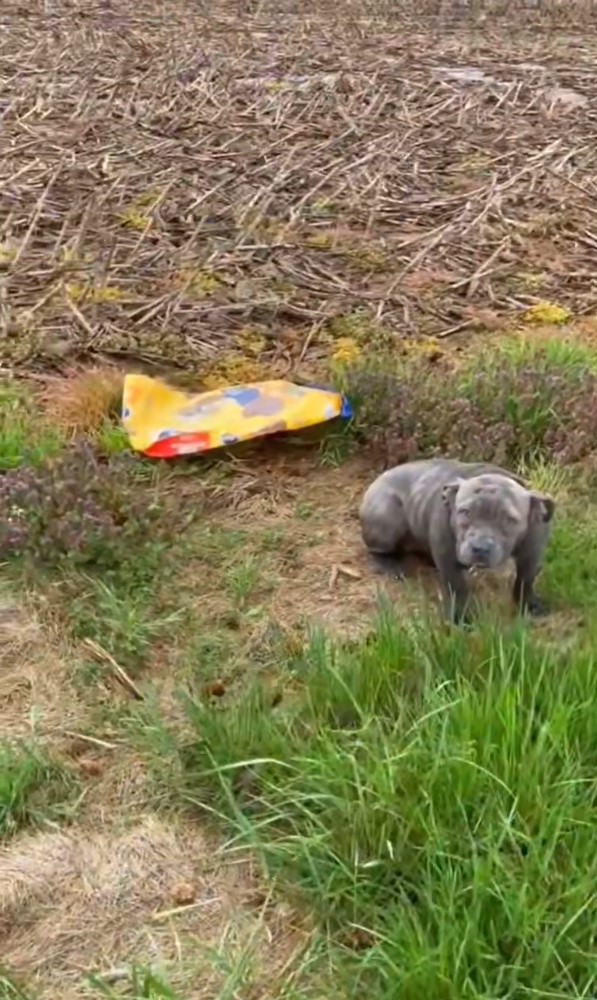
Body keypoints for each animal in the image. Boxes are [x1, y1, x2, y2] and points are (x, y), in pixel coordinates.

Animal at [360, 458, 556, 620]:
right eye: (465, 512)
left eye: (510, 519)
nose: (480, 548)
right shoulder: (447, 556)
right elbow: (456, 586)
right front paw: (461, 617)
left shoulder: (533, 552)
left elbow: (526, 579)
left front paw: (529, 604)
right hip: (387, 515)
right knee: (378, 549)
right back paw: (391, 565)